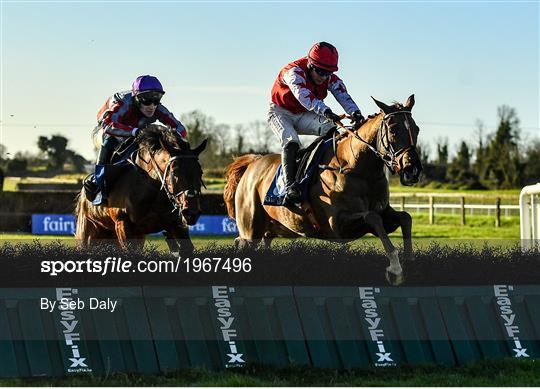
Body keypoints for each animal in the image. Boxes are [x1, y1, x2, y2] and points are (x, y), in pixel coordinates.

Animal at [77, 123, 208, 253]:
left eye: (200, 172)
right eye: (174, 173)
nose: (192, 213)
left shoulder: (175, 223)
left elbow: (186, 248)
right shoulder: (123, 224)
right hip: (89, 233)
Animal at [224, 94, 422, 282]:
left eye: (416, 129)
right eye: (393, 130)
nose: (412, 170)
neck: (358, 169)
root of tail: (253, 162)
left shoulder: (383, 211)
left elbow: (405, 217)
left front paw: (409, 261)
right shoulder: (337, 225)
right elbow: (372, 218)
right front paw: (395, 269)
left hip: (268, 231)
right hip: (250, 230)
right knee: (241, 242)